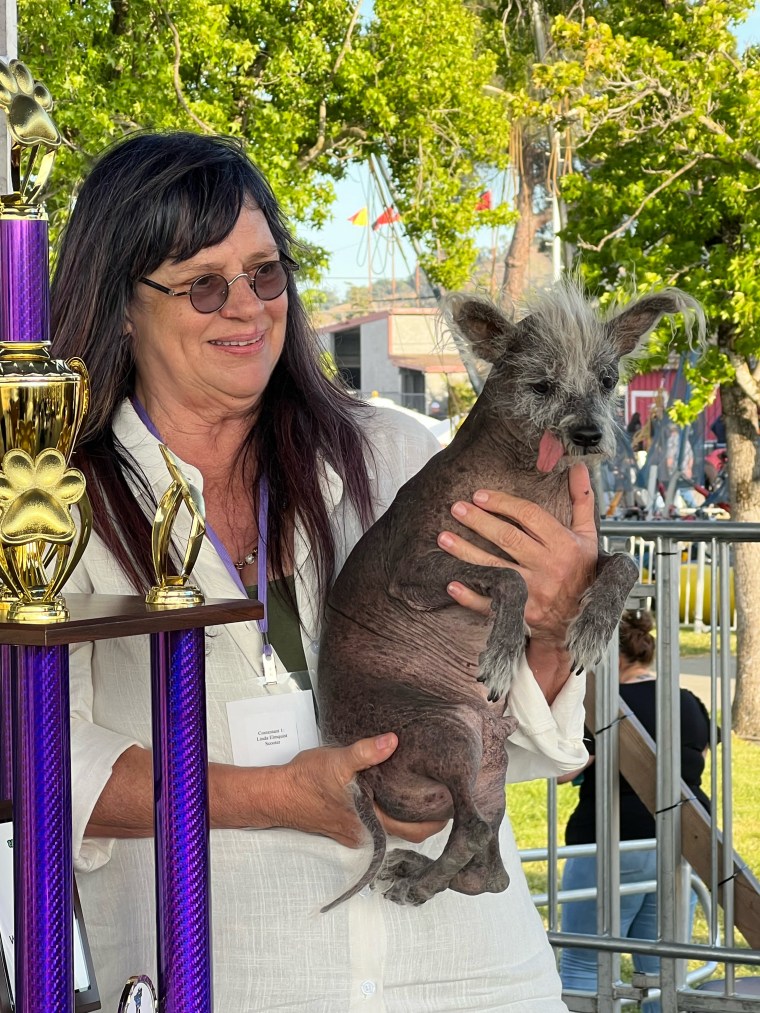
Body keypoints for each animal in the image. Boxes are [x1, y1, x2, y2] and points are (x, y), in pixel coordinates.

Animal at [316, 281, 701, 915]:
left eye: (606, 379)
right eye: (541, 384)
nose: (589, 434)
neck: (534, 481)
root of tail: (365, 782)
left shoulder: (581, 552)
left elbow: (622, 564)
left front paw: (592, 630)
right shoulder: (418, 571)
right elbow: (511, 578)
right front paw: (501, 652)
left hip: (487, 765)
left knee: (485, 867)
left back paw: (423, 872)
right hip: (445, 729)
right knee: (470, 833)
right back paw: (418, 880)